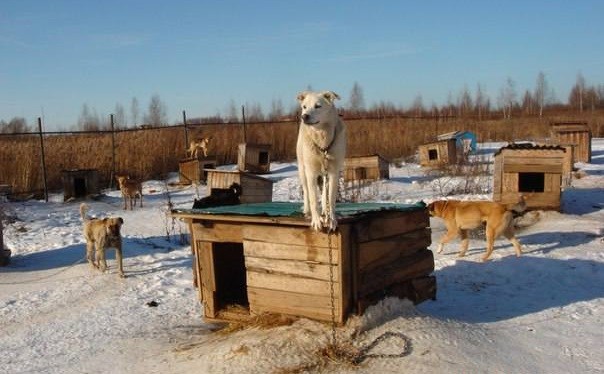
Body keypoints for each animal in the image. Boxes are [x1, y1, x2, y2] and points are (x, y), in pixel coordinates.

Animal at [296, 90, 346, 231]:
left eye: (318, 106)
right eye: (304, 107)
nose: (304, 116)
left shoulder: (334, 172)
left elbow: (331, 198)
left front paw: (332, 220)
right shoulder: (311, 172)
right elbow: (313, 198)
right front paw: (316, 221)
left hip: (325, 173)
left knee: (324, 192)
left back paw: (325, 210)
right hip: (302, 170)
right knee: (306, 192)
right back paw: (307, 211)